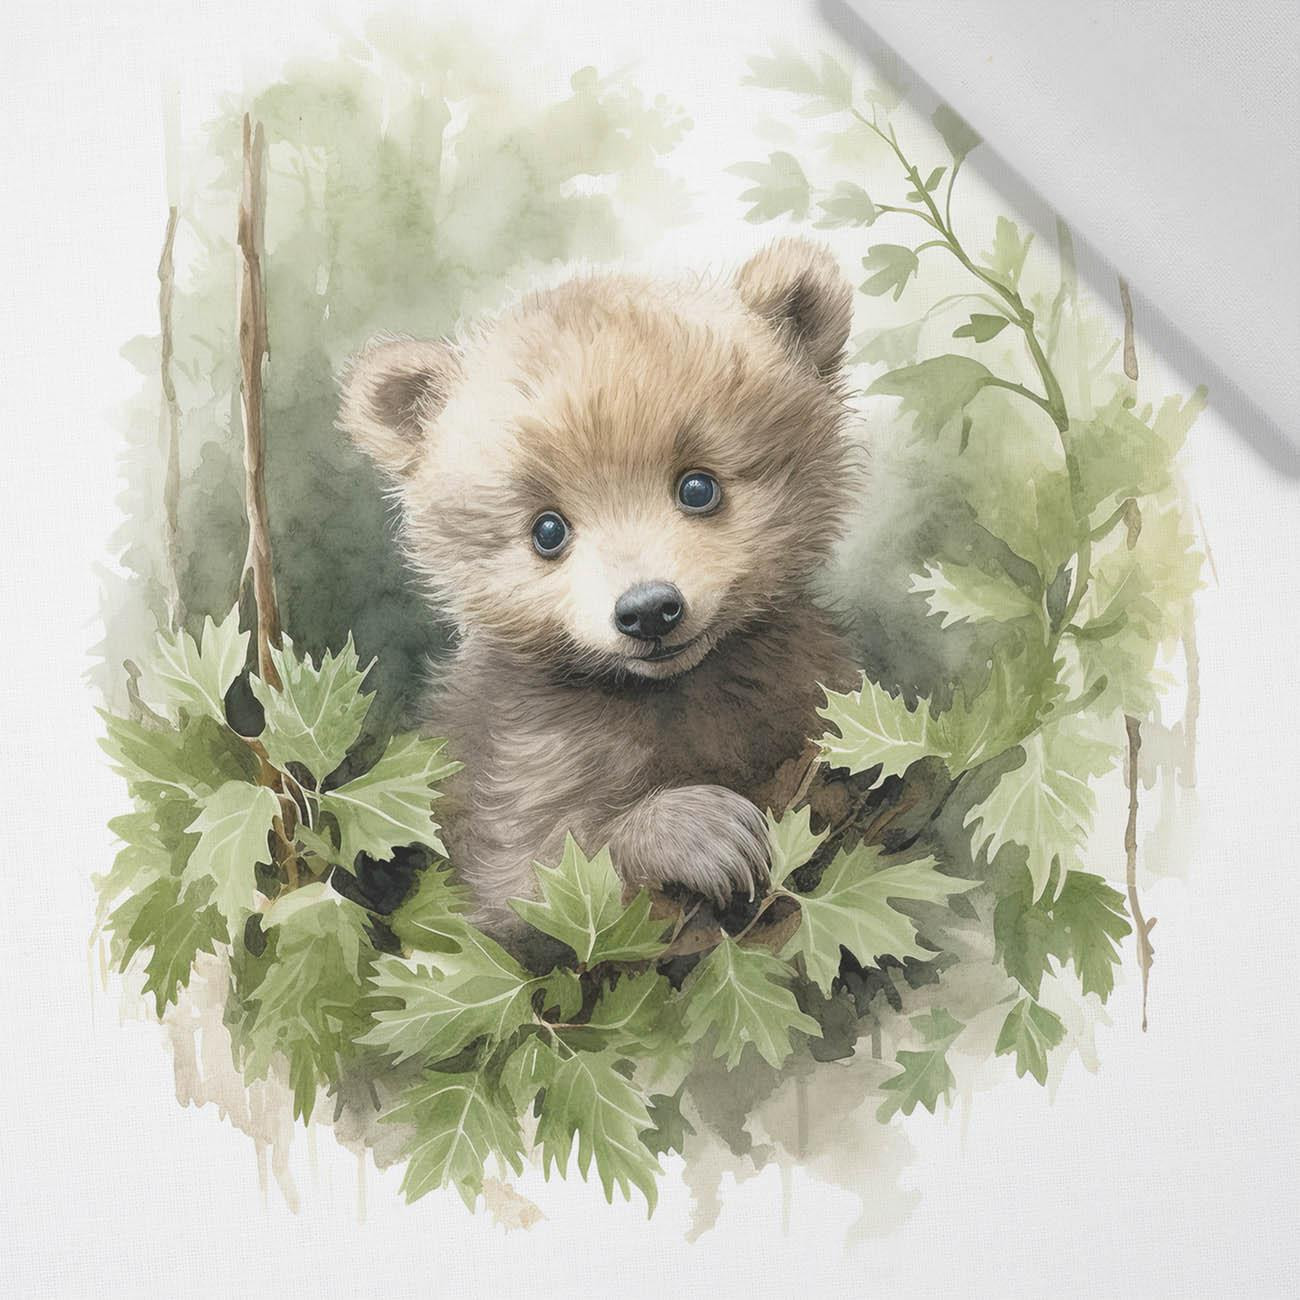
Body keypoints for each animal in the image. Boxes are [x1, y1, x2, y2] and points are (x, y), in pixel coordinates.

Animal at [340, 237, 860, 932]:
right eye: (548, 530)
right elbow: (535, 881)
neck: (672, 695)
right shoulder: (514, 766)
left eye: (699, 486)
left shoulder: (802, 689)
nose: (649, 610)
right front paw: (701, 832)